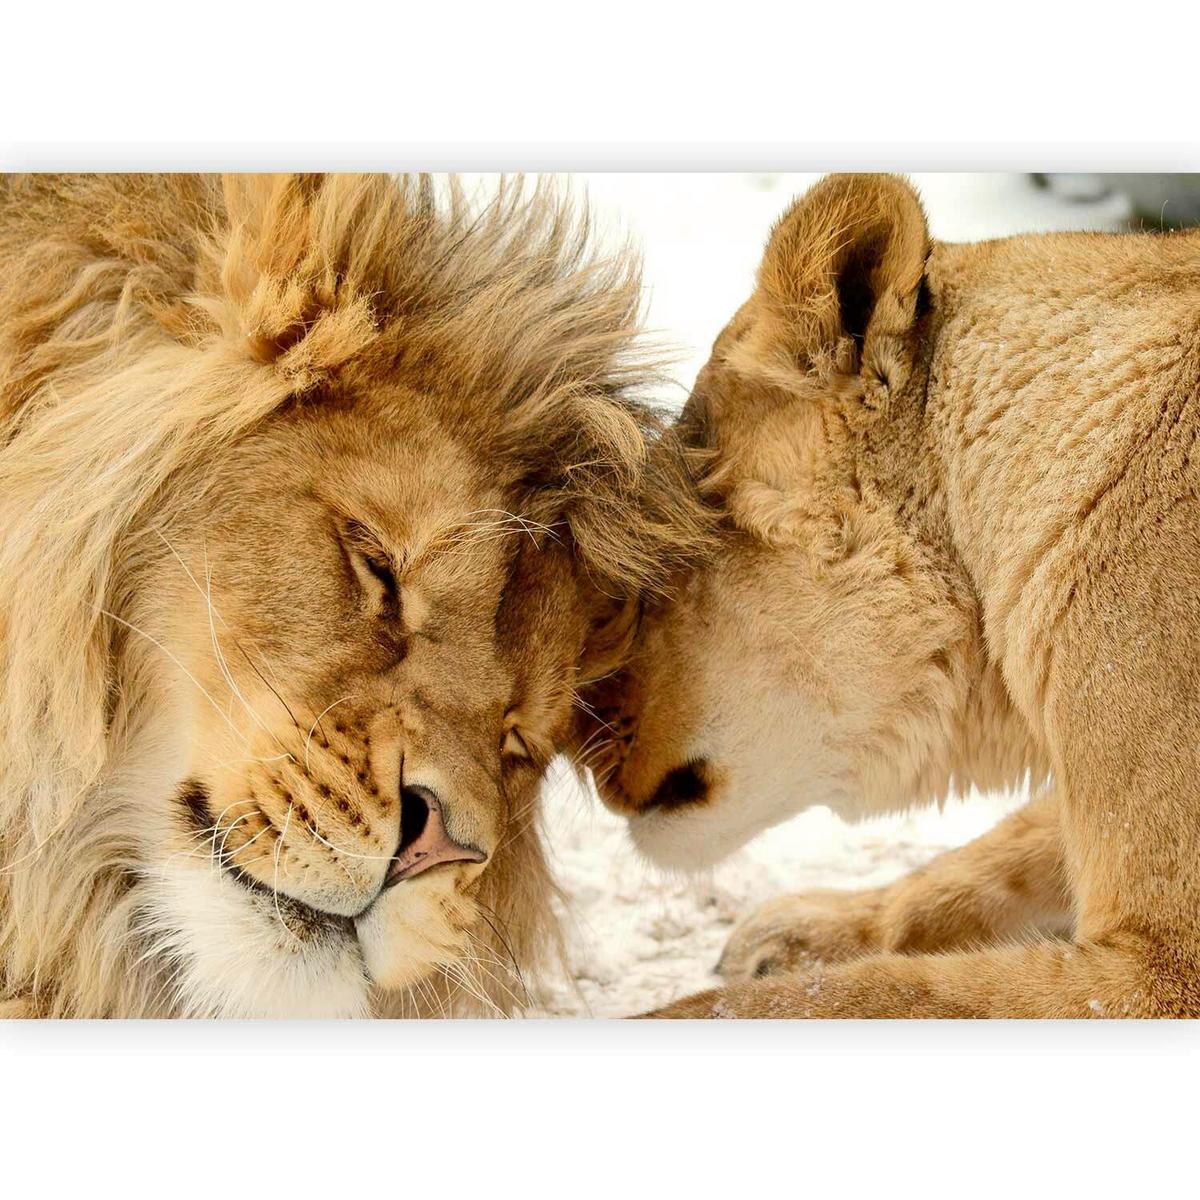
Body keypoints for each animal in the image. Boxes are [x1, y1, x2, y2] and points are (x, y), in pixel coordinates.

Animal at [583, 172, 1200, 1017]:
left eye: (656, 563)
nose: (574, 741)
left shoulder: (1163, 971)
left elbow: (864, 994)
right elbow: (993, 856)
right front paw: (799, 931)